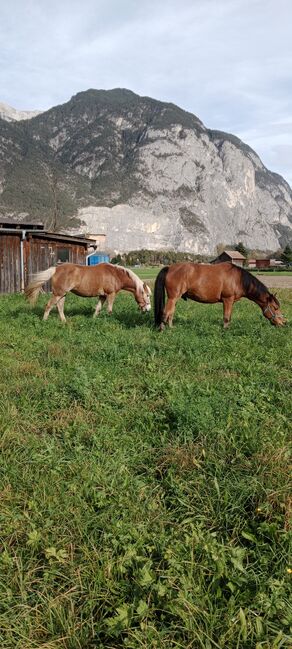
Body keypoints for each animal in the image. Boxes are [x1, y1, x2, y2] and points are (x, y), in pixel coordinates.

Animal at [154, 260, 286, 330]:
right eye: (275, 308)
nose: (283, 323)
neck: (238, 279)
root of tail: (169, 268)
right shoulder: (227, 300)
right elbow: (226, 317)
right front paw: (225, 330)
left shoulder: (230, 302)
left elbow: (229, 316)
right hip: (172, 298)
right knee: (165, 312)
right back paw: (162, 329)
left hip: (175, 299)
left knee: (171, 313)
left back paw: (171, 327)